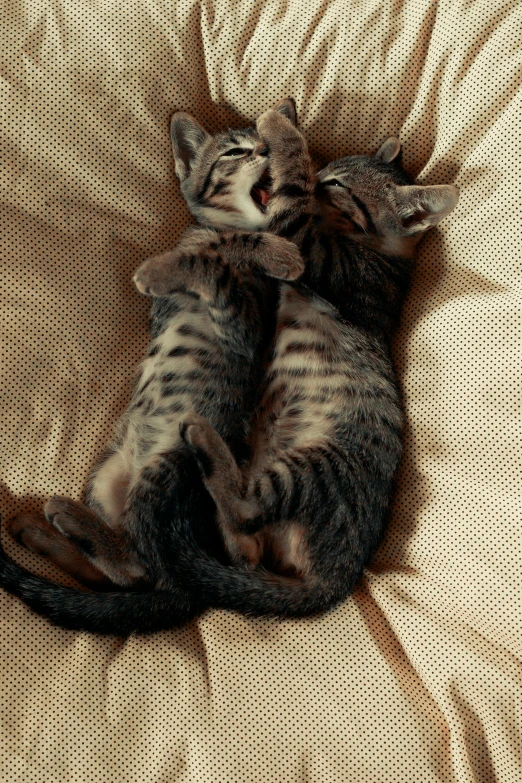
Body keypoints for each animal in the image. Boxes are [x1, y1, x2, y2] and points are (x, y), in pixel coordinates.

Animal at [0, 99, 312, 636]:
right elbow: (218, 249)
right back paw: (38, 531)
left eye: (260, 143)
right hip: (105, 475)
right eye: (235, 151)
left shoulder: (246, 323)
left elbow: (220, 256)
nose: (265, 148)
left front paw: (266, 251)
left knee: (137, 566)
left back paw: (61, 518)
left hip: (167, 469)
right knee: (124, 574)